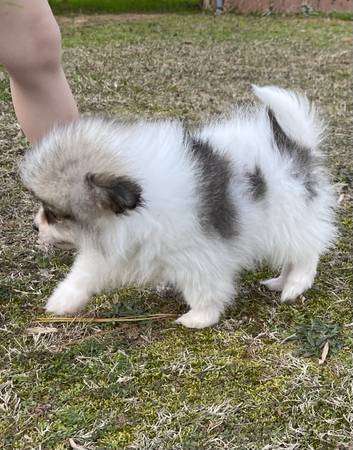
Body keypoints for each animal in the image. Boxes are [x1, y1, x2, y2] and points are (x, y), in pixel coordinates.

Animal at [20, 86, 334, 328]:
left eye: (56, 214)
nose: (35, 225)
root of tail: (296, 148)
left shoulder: (196, 255)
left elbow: (203, 289)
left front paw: (199, 318)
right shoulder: (116, 249)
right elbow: (84, 273)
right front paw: (62, 300)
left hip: (287, 217)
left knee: (306, 252)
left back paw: (295, 285)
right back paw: (280, 281)